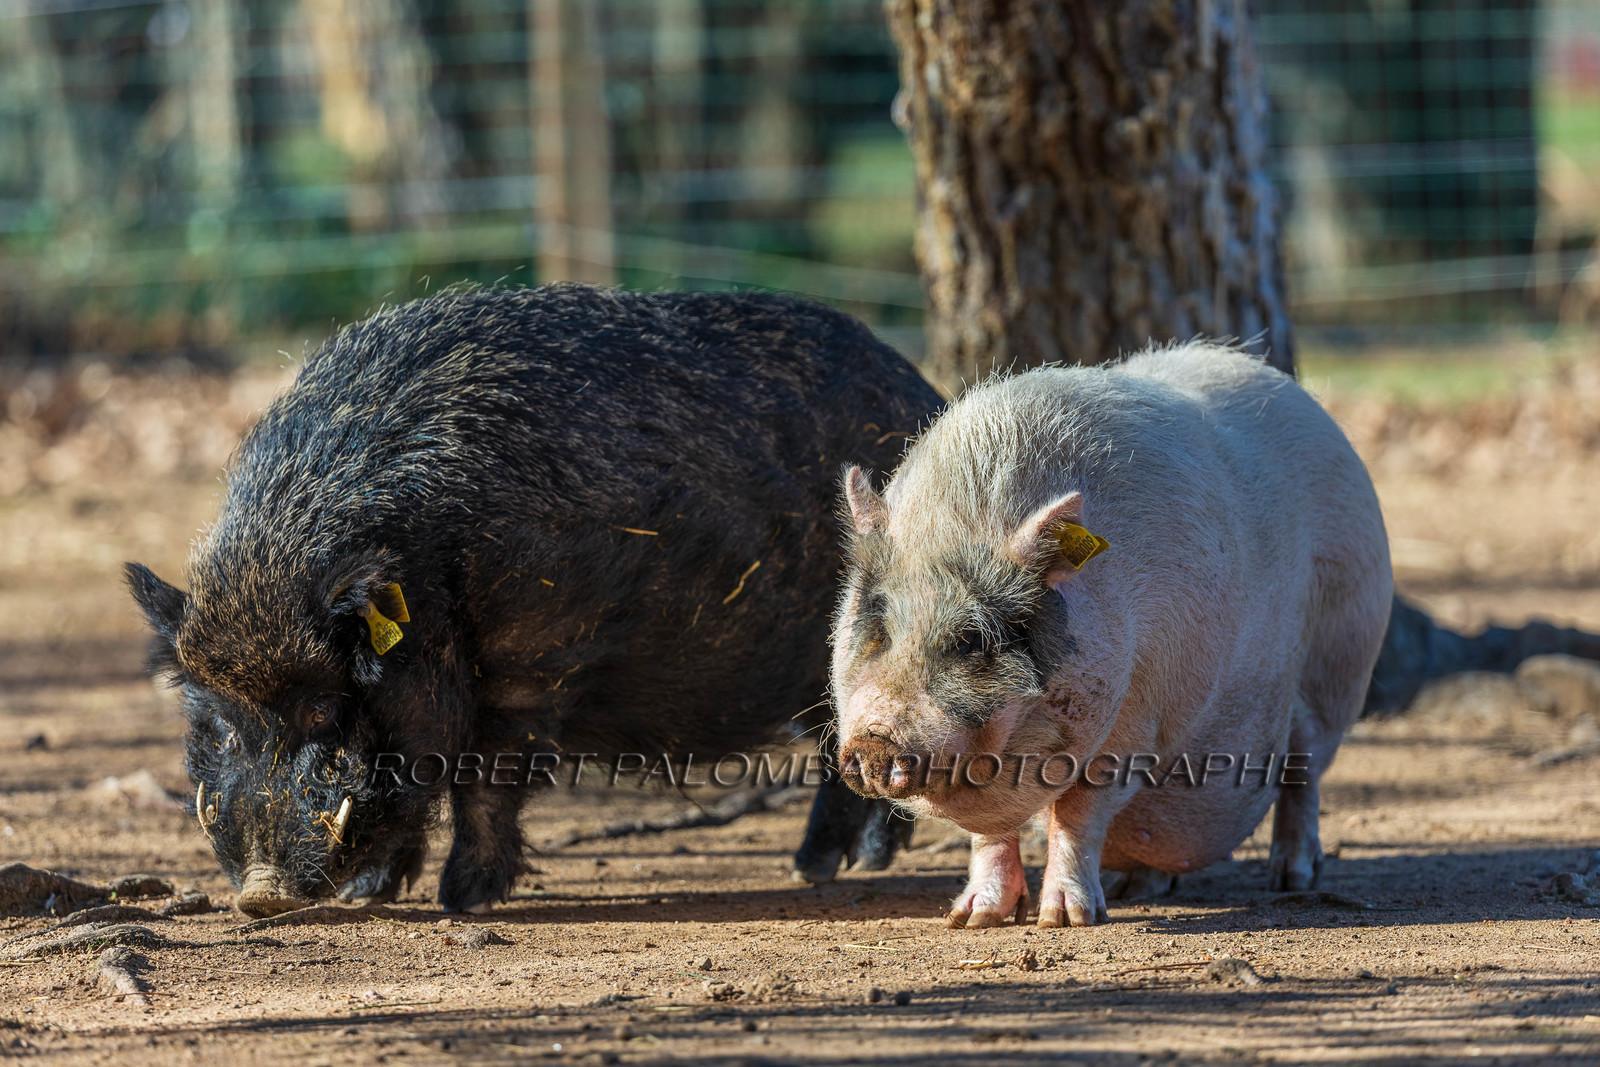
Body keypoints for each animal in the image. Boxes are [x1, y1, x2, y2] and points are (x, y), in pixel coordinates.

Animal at [127, 284, 934, 916]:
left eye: (325, 709)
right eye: (220, 721)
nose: (262, 893)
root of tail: (925, 388)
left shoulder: (535, 653)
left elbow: (486, 781)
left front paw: (464, 900)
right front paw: (370, 895)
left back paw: (820, 868)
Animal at [831, 342, 1392, 927]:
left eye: (972, 641)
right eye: (878, 630)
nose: (873, 742)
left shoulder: (1138, 711)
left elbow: (1078, 813)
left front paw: (1067, 920)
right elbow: (990, 833)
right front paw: (972, 920)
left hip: (1341, 661)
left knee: (1304, 773)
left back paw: (1292, 878)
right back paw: (1140, 887)